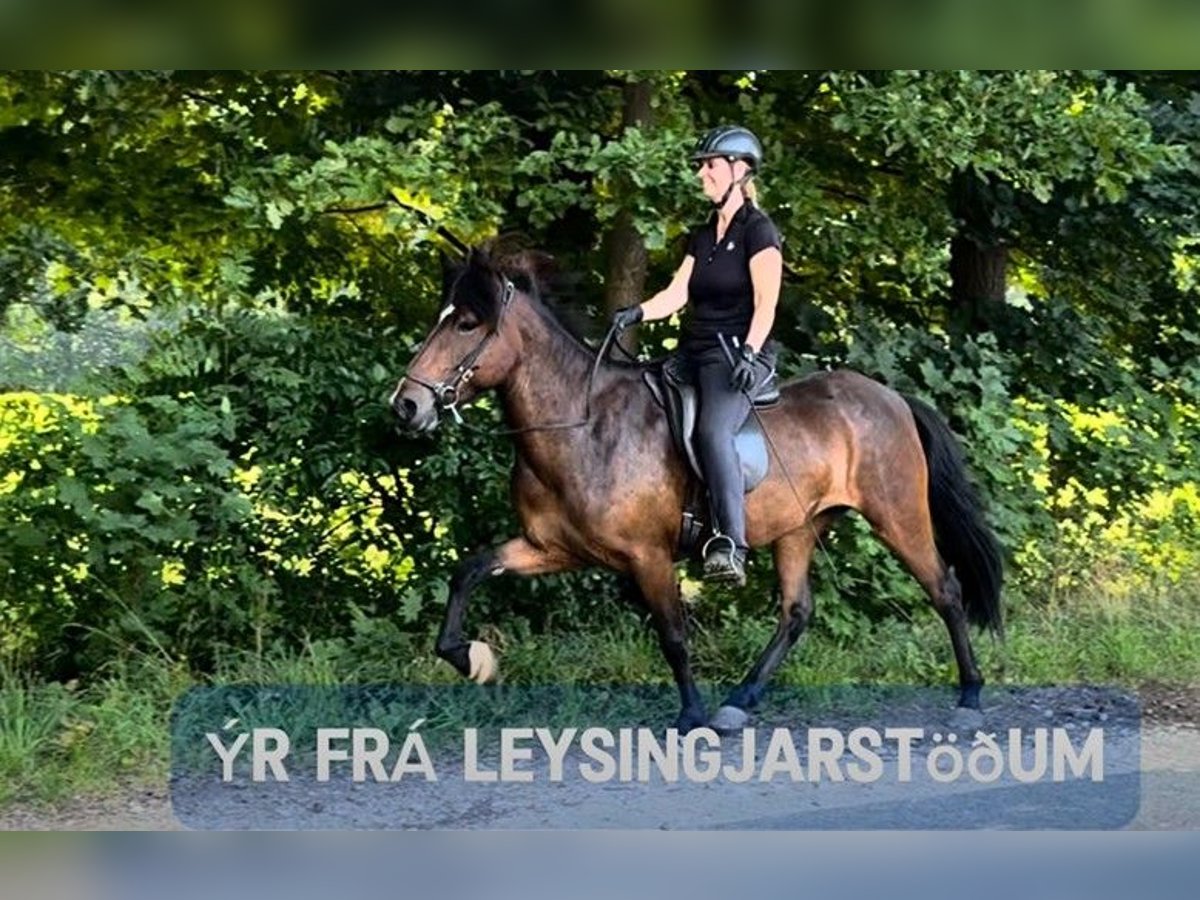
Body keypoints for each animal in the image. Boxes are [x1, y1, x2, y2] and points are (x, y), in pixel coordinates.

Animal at [390, 246, 1004, 732]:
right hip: (800, 526)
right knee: (796, 612)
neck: (582, 425)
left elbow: (673, 636)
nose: (407, 406)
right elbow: (469, 570)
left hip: (896, 514)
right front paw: (470, 658)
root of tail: (891, 397)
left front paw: (690, 715)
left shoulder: (648, 556)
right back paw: (740, 702)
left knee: (944, 590)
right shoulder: (552, 548)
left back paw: (970, 698)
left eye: (468, 324)